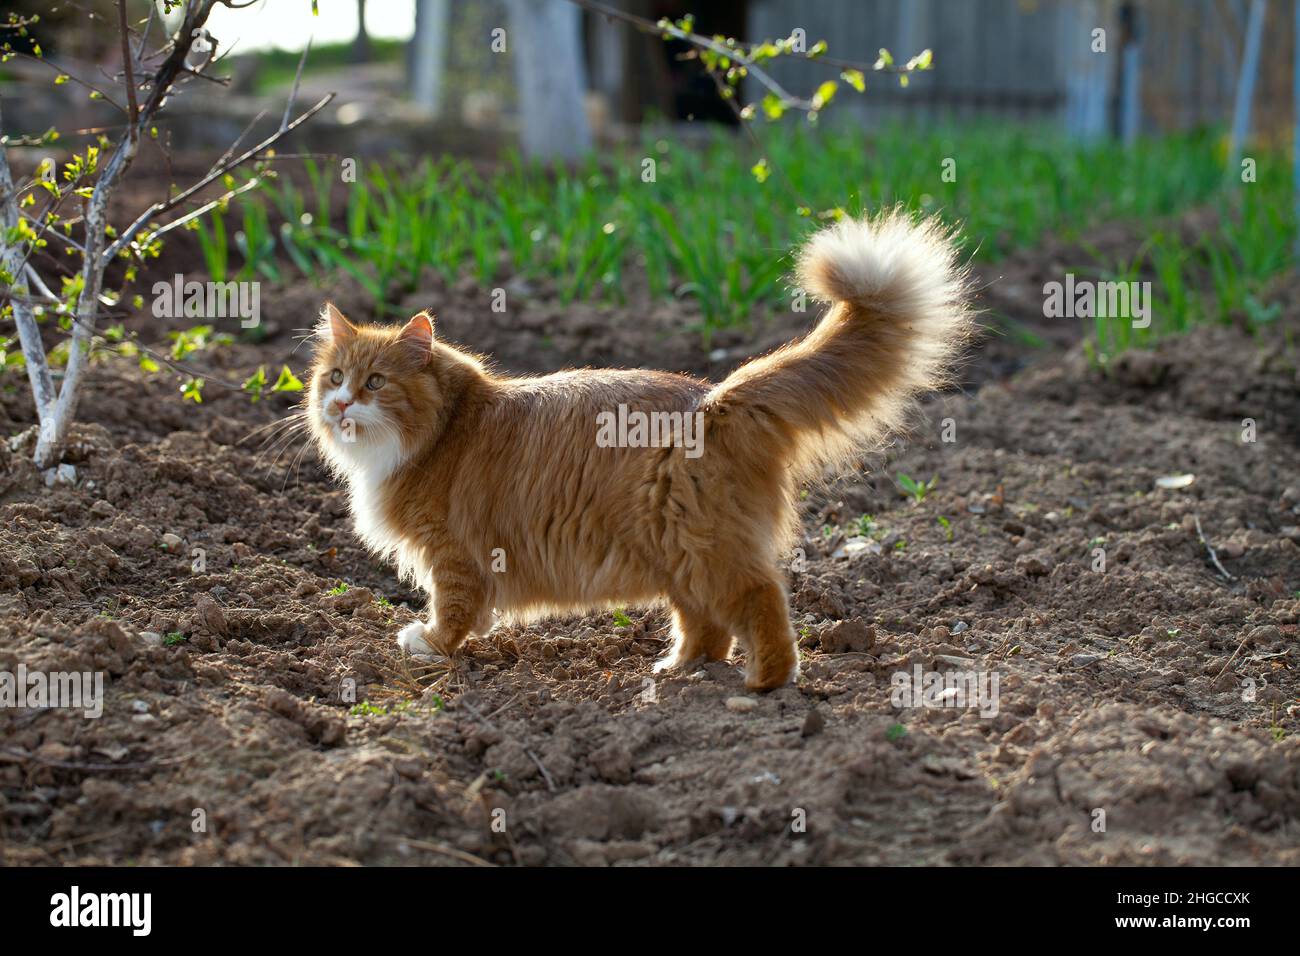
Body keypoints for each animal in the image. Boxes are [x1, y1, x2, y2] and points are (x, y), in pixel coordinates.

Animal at [309, 210, 972, 686]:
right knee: (708, 626)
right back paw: (682, 669)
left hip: (702, 547)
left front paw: (427, 646)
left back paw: (766, 683)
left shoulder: (453, 555)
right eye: (335, 376)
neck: (444, 430)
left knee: (760, 600)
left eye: (375, 383)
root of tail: (714, 400)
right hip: (675, 553)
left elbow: (452, 612)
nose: (339, 405)